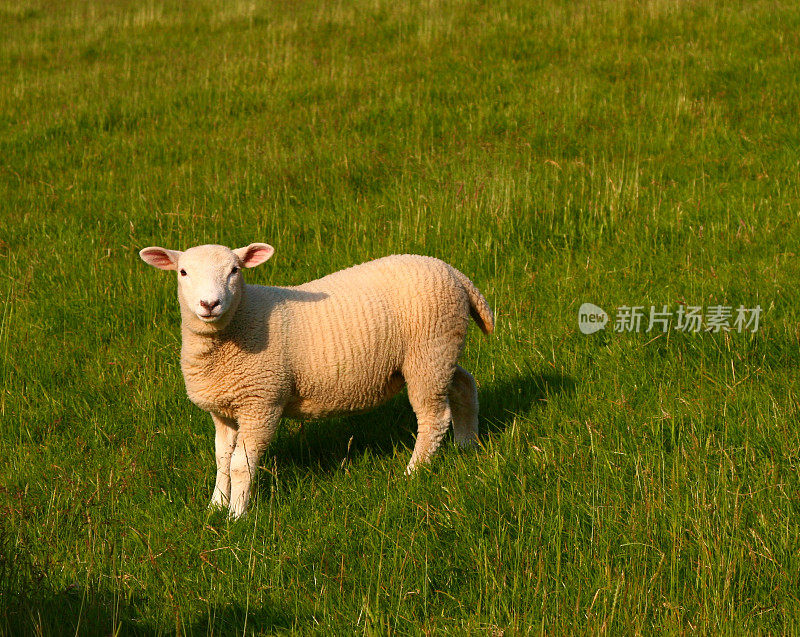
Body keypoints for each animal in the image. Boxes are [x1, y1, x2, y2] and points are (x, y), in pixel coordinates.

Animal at [141, 243, 496, 516]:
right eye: (183, 272)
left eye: (234, 270)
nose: (209, 304)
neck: (241, 320)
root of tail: (454, 272)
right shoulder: (224, 409)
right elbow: (221, 460)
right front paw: (215, 505)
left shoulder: (261, 402)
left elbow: (242, 464)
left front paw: (236, 515)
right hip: (440, 352)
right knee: (464, 386)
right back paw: (466, 444)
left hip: (428, 352)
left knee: (434, 417)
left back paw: (413, 471)